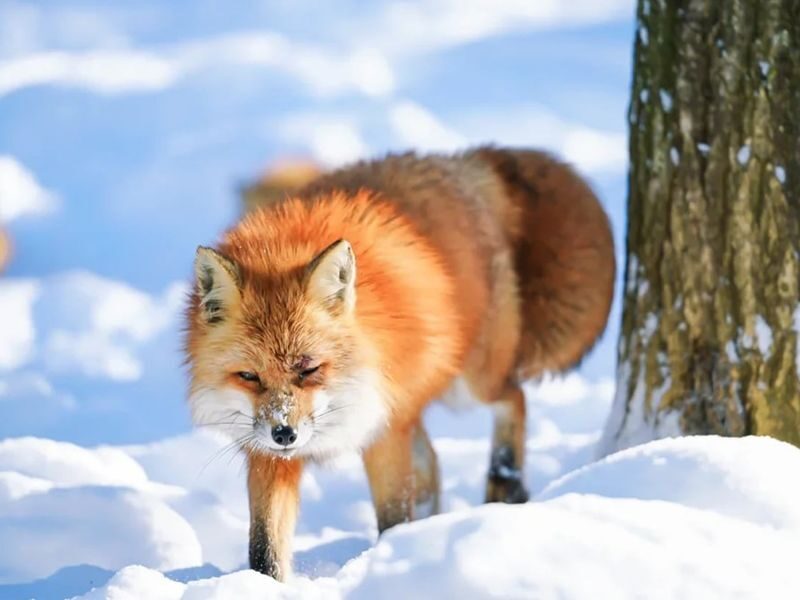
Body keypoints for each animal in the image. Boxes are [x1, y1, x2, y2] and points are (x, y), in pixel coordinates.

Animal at [184, 146, 615, 581]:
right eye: (249, 377)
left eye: (309, 369)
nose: (284, 434)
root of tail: (460, 159)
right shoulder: (266, 453)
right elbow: (265, 549)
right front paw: (264, 585)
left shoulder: (383, 427)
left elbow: (391, 515)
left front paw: (388, 561)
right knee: (433, 464)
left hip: (469, 384)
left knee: (514, 398)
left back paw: (504, 481)